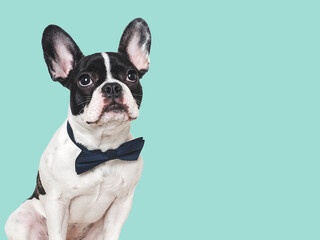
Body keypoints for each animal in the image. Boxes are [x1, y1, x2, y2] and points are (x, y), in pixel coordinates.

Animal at [4, 17, 151, 240]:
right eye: (85, 80)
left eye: (131, 76)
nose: (112, 87)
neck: (101, 150)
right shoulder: (57, 204)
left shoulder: (122, 203)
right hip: (21, 219)